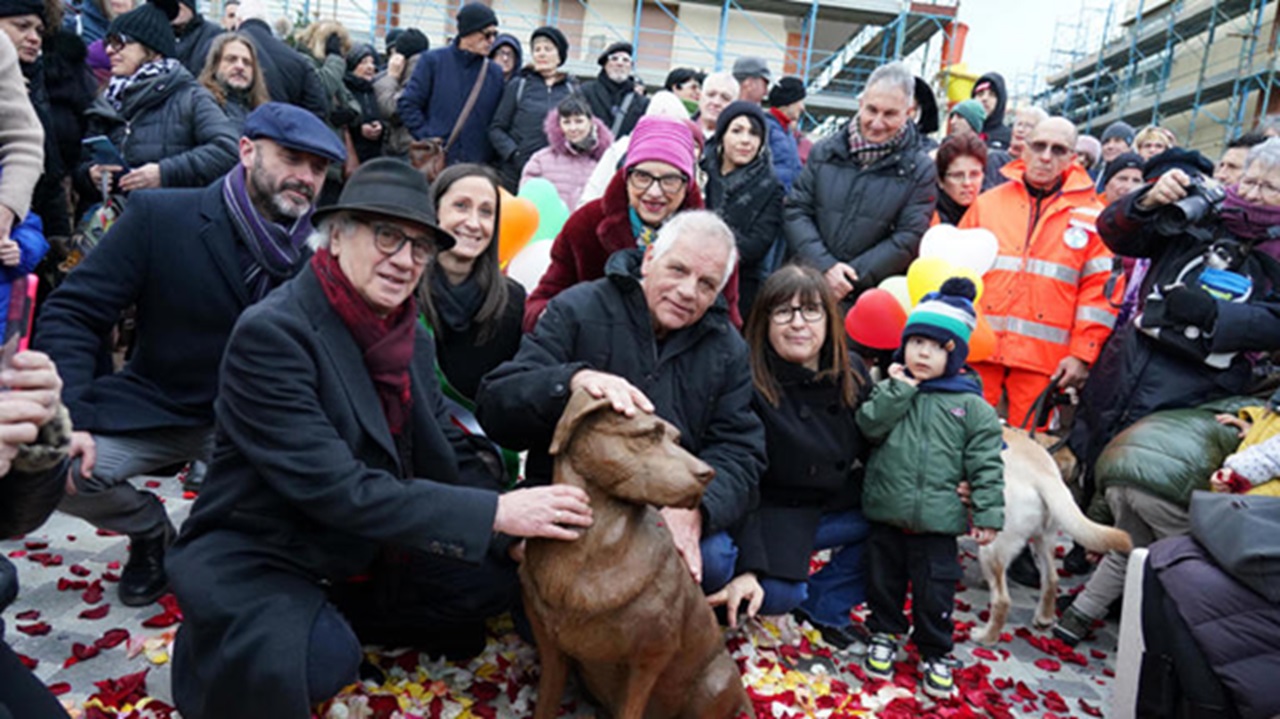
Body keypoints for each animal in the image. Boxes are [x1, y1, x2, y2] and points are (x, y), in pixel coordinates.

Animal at [519, 388, 752, 711]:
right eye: (649, 435)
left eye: (676, 439)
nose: (708, 474)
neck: (590, 548)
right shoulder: (551, 646)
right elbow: (546, 702)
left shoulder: (649, 659)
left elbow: (630, 708)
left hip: (712, 684)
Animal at [972, 427, 1136, 639]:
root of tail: (1043, 473)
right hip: (1045, 538)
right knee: (1051, 579)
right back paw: (1044, 618)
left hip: (992, 547)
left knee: (1002, 600)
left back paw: (985, 637)